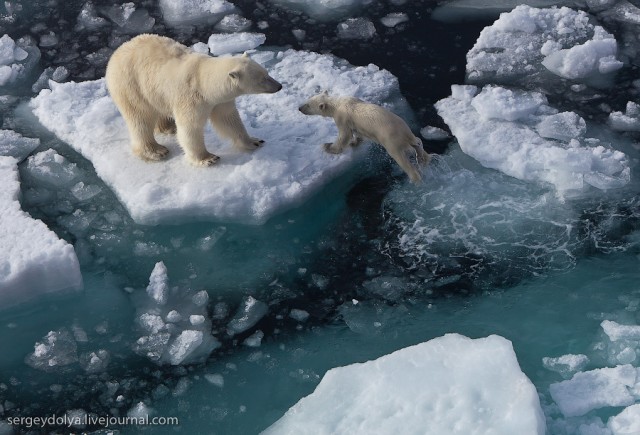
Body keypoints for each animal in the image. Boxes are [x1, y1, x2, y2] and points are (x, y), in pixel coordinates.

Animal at [106, 33, 282, 166]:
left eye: (266, 72)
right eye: (262, 79)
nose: (279, 86)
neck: (204, 81)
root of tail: (116, 53)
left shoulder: (219, 102)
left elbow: (229, 120)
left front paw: (254, 141)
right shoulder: (191, 97)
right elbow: (190, 127)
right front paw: (208, 158)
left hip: (152, 89)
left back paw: (169, 127)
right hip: (130, 85)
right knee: (140, 118)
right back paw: (156, 151)